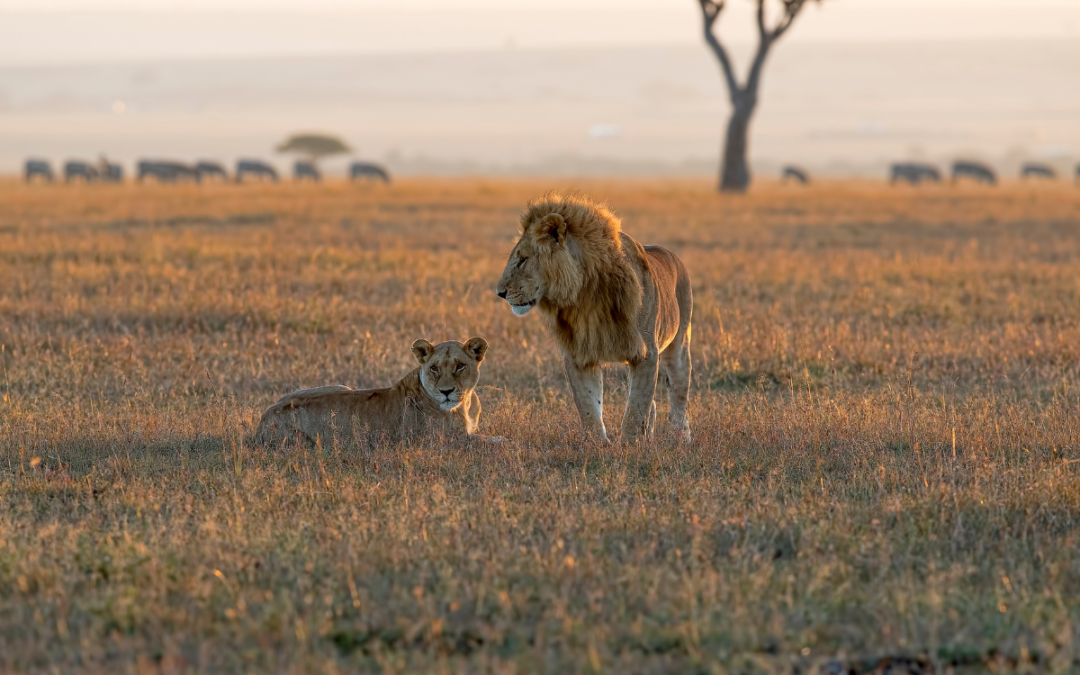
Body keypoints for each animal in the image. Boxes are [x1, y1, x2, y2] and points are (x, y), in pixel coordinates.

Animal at [254, 336, 488, 447]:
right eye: (434, 368)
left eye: (460, 366)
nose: (446, 391)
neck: (465, 404)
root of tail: (262, 421)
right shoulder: (449, 442)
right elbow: (492, 442)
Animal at [494, 193, 691, 442]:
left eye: (522, 260)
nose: (499, 293)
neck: (584, 297)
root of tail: (674, 257)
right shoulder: (578, 354)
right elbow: (588, 406)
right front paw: (598, 444)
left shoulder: (647, 353)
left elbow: (636, 408)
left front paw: (629, 445)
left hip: (679, 345)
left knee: (679, 396)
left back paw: (680, 437)